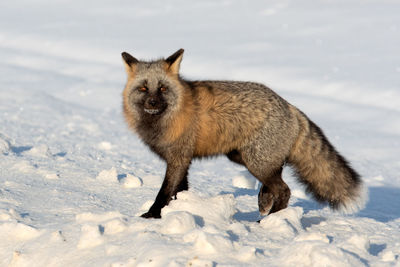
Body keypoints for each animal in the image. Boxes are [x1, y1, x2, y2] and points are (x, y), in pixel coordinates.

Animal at [119, 48, 366, 220]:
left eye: (162, 88)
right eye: (143, 89)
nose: (152, 102)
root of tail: (289, 106)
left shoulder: (178, 158)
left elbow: (164, 192)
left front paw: (152, 215)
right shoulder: (183, 160)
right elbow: (179, 190)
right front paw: (181, 209)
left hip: (255, 162)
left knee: (284, 190)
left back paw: (269, 220)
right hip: (243, 158)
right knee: (278, 177)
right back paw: (264, 201)